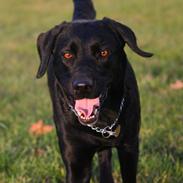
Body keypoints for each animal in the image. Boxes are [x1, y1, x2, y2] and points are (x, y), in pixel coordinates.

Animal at [35, 0, 152, 182]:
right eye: (67, 55)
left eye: (103, 52)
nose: (82, 86)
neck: (102, 123)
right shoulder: (75, 159)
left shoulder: (130, 147)